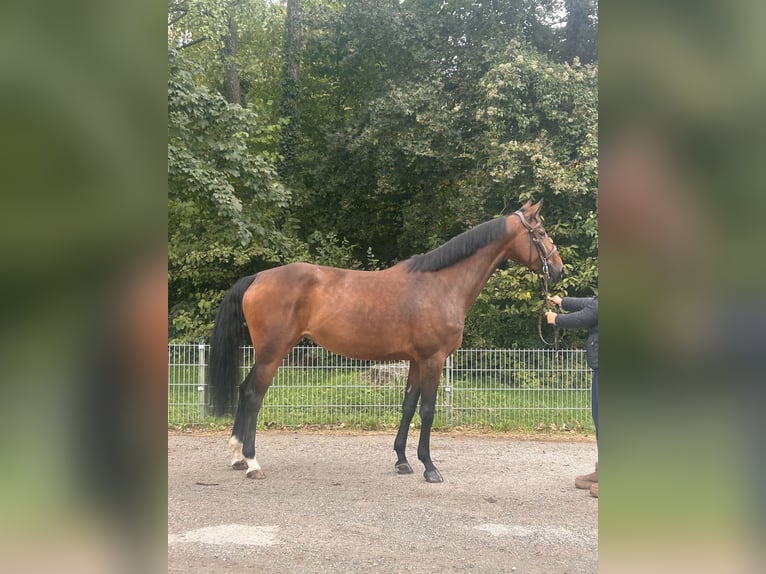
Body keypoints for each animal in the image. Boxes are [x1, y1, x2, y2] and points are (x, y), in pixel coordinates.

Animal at [210, 200, 564, 484]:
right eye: (541, 231)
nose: (559, 270)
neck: (442, 284)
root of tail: (257, 277)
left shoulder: (416, 360)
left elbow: (407, 406)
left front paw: (402, 461)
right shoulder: (433, 359)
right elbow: (427, 410)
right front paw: (429, 467)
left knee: (244, 390)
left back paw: (237, 456)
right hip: (273, 353)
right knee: (253, 396)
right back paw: (252, 462)